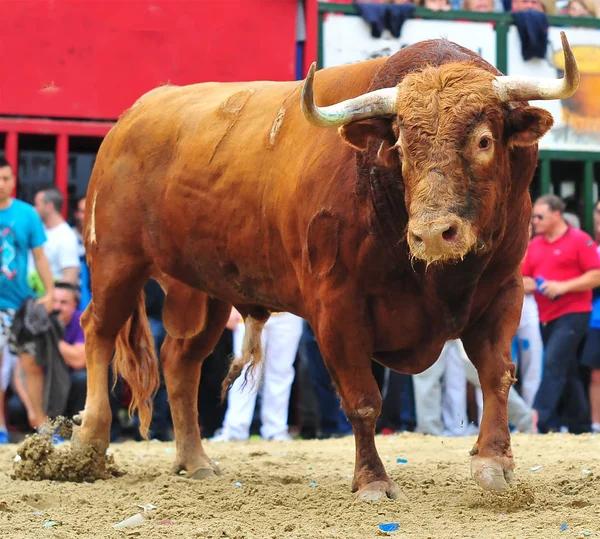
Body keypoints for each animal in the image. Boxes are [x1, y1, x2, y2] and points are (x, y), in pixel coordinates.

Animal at [74, 32, 576, 498]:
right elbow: (363, 400)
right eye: (400, 146)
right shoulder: (337, 307)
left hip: (203, 289)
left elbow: (496, 374)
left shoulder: (503, 290)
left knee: (180, 362)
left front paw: (494, 464)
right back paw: (88, 446)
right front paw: (372, 481)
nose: (433, 234)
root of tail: (130, 119)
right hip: (116, 261)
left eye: (484, 141)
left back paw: (194, 460)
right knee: (98, 331)